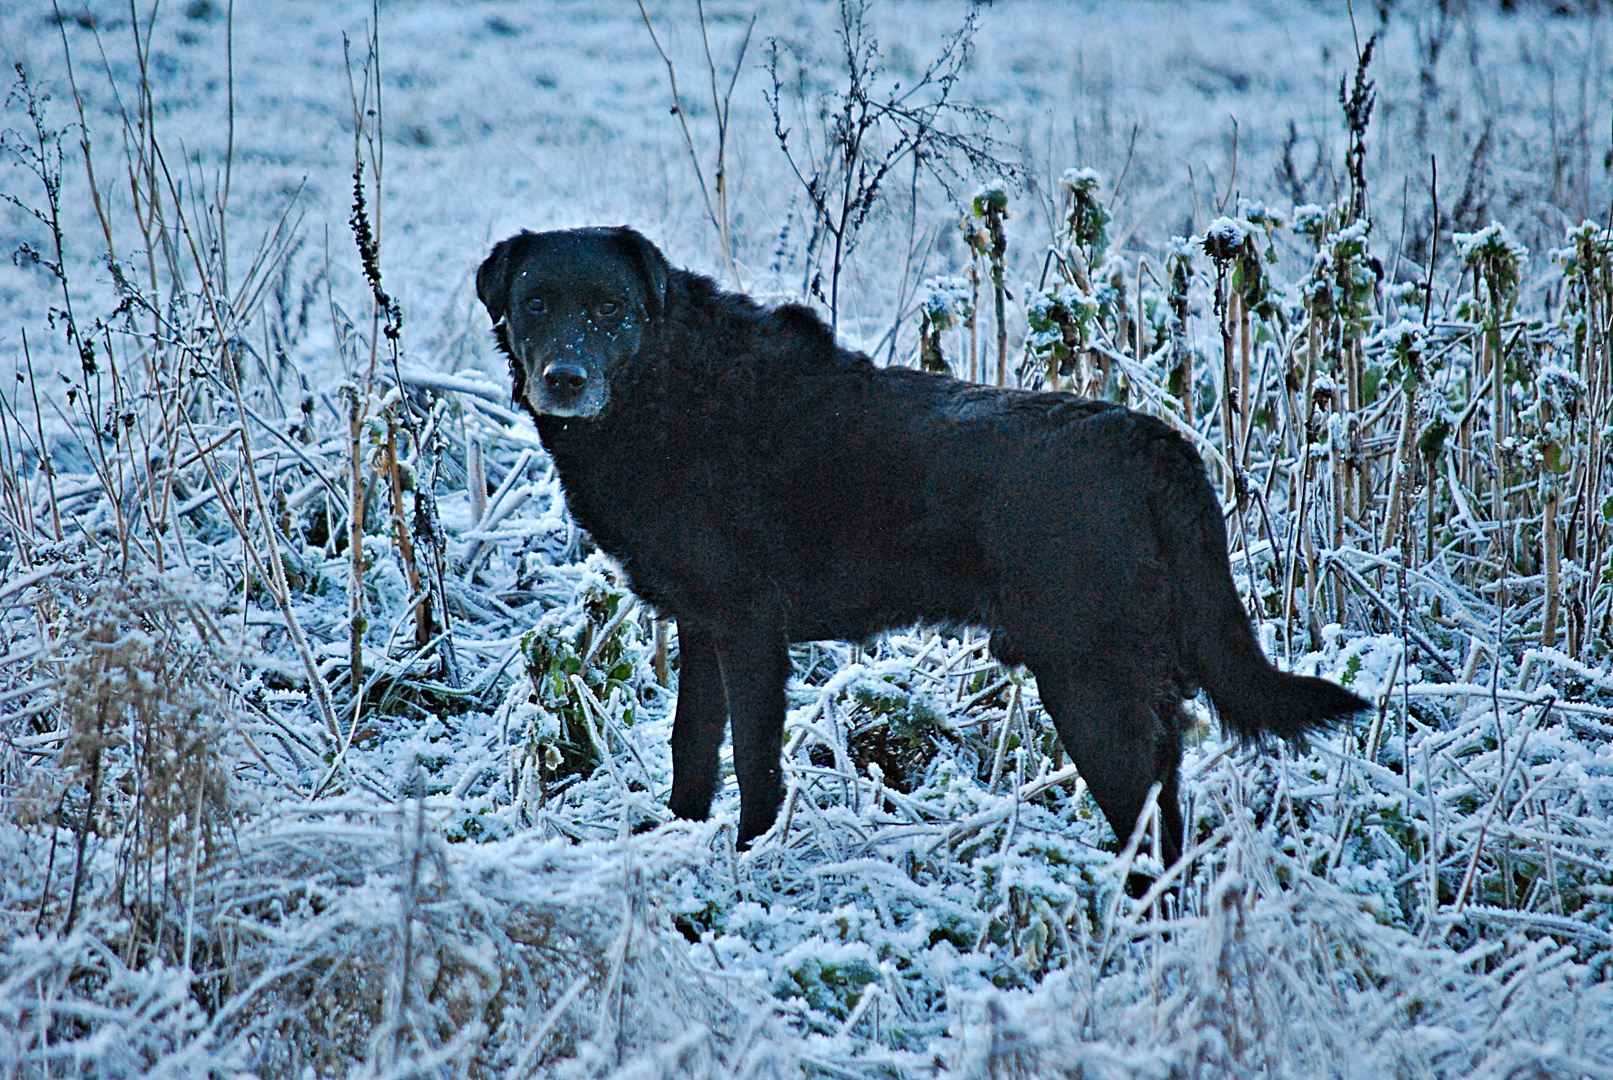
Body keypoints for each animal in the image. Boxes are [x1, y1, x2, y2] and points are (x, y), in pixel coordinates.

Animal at [474, 228, 1361, 870]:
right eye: (537, 302)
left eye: (609, 309)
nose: (563, 378)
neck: (666, 388)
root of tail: (1150, 442)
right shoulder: (700, 625)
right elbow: (692, 746)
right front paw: (673, 842)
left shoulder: (751, 627)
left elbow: (756, 760)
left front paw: (751, 858)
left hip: (1087, 680)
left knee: (1147, 823)